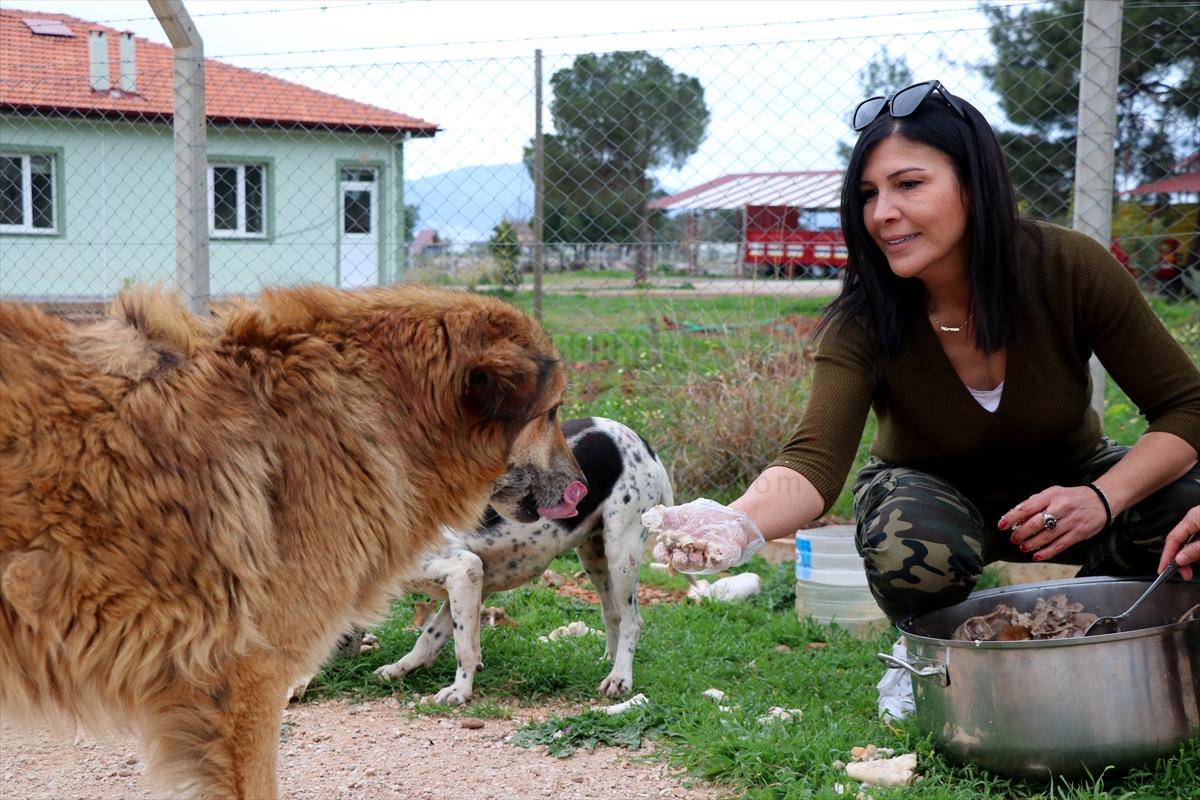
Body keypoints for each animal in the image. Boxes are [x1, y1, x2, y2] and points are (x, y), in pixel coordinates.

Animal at [376, 417, 676, 705]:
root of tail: (641, 442)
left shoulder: (464, 572)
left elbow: (463, 648)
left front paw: (459, 690)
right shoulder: (473, 581)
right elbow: (431, 636)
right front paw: (401, 667)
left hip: (622, 553)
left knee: (632, 621)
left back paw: (620, 677)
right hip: (594, 556)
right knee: (613, 614)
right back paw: (608, 663)